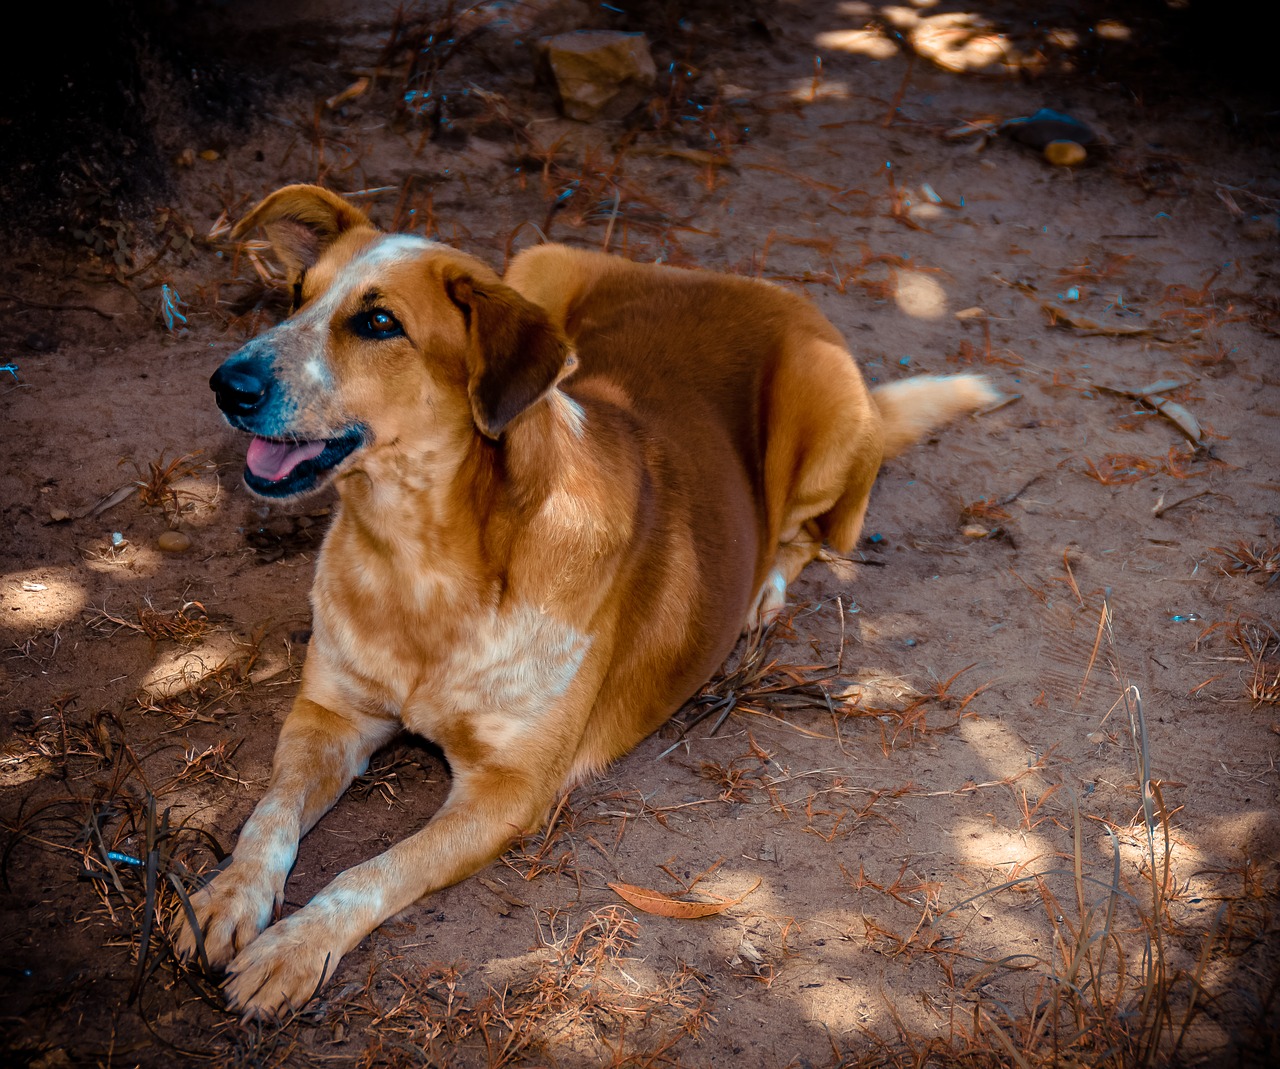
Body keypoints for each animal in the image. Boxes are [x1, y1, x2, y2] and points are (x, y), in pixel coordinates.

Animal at [177, 185, 998, 1019]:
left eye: (378, 323)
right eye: (295, 296)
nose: (225, 383)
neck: (422, 562)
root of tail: (737, 279)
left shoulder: (507, 792)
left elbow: (372, 871)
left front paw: (296, 945)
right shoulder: (329, 714)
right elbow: (269, 814)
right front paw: (225, 896)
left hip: (824, 414)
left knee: (811, 534)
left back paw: (765, 588)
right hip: (541, 264)